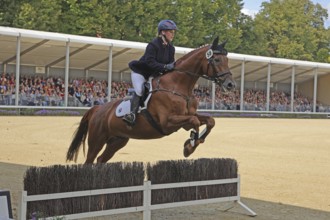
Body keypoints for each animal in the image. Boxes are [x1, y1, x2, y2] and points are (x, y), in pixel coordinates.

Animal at [66, 36, 235, 163]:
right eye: (217, 60)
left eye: (227, 60)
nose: (230, 84)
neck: (179, 86)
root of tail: (97, 109)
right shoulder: (167, 122)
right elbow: (194, 122)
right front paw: (190, 145)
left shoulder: (187, 117)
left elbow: (210, 121)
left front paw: (192, 143)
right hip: (97, 139)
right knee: (90, 160)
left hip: (118, 140)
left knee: (101, 160)